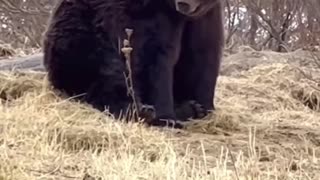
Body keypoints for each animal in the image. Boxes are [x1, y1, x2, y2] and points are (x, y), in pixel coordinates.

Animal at [42, 0, 225, 128]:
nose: (183, 3)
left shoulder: (205, 18)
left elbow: (203, 55)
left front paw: (203, 107)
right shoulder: (146, 16)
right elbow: (156, 56)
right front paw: (167, 118)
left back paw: (191, 108)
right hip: (81, 35)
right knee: (110, 73)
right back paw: (141, 110)